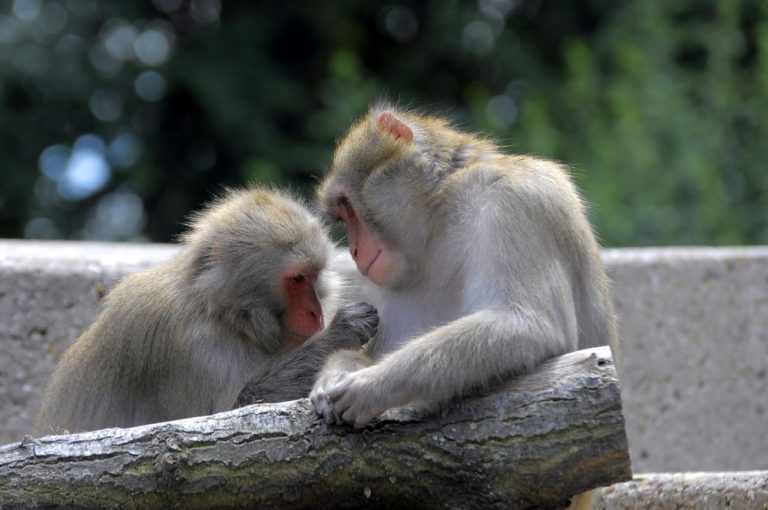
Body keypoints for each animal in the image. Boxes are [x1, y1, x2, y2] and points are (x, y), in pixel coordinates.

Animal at [33, 189, 378, 436]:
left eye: (315, 275)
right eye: (297, 279)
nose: (315, 312)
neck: (220, 311)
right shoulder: (190, 347)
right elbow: (228, 413)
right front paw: (344, 330)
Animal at [308, 102, 620, 426]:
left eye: (347, 206)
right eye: (343, 215)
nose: (354, 250)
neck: (440, 220)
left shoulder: (515, 201)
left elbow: (528, 324)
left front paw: (370, 385)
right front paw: (338, 371)